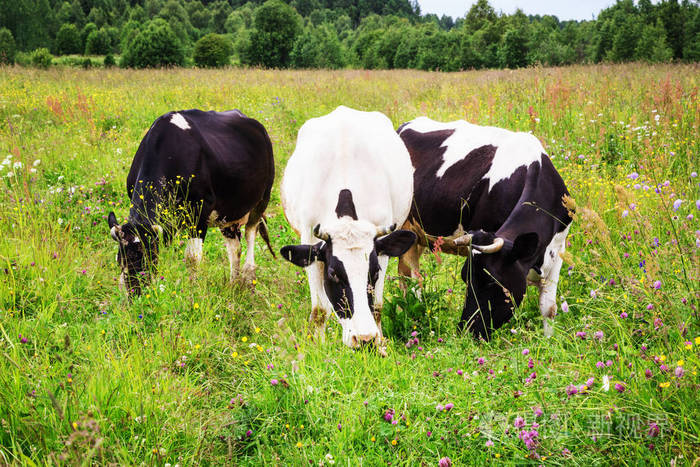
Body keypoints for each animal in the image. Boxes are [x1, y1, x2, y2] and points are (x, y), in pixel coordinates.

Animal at [108, 109, 274, 296]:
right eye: (120, 260)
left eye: (146, 257)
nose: (135, 293)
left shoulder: (199, 211)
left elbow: (192, 259)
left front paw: (192, 292)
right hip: (228, 213)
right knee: (235, 248)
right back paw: (233, 285)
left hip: (262, 199)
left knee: (250, 234)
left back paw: (248, 278)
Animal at [282, 106, 418, 352]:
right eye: (333, 274)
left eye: (374, 272)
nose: (364, 339)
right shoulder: (310, 242)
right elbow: (319, 310)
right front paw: (320, 350)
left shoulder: (382, 248)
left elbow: (378, 306)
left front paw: (380, 344)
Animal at [396, 117, 572, 340]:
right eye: (465, 278)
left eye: (491, 282)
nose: (467, 332)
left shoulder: (558, 251)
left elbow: (548, 308)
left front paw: (549, 341)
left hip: (416, 236)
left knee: (410, 275)